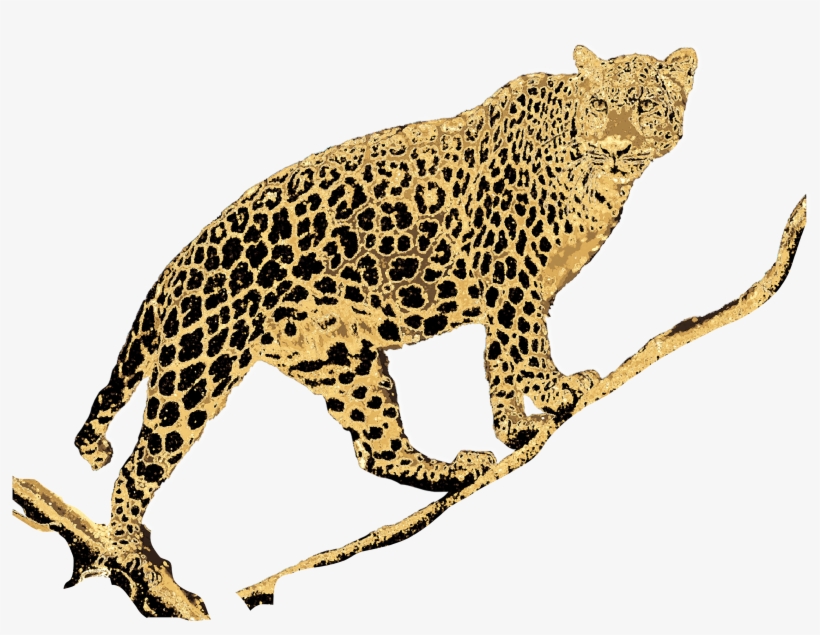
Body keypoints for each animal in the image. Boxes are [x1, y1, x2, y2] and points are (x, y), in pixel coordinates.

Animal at [68, 45, 696, 615]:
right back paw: (132, 554)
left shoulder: (519, 291)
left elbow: (499, 361)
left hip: (344, 363)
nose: (616, 147)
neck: (599, 180)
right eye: (600, 105)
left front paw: (514, 427)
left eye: (644, 106)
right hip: (196, 368)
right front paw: (557, 389)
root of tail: (172, 270)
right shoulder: (511, 276)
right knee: (134, 469)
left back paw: (451, 471)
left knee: (376, 450)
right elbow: (524, 348)